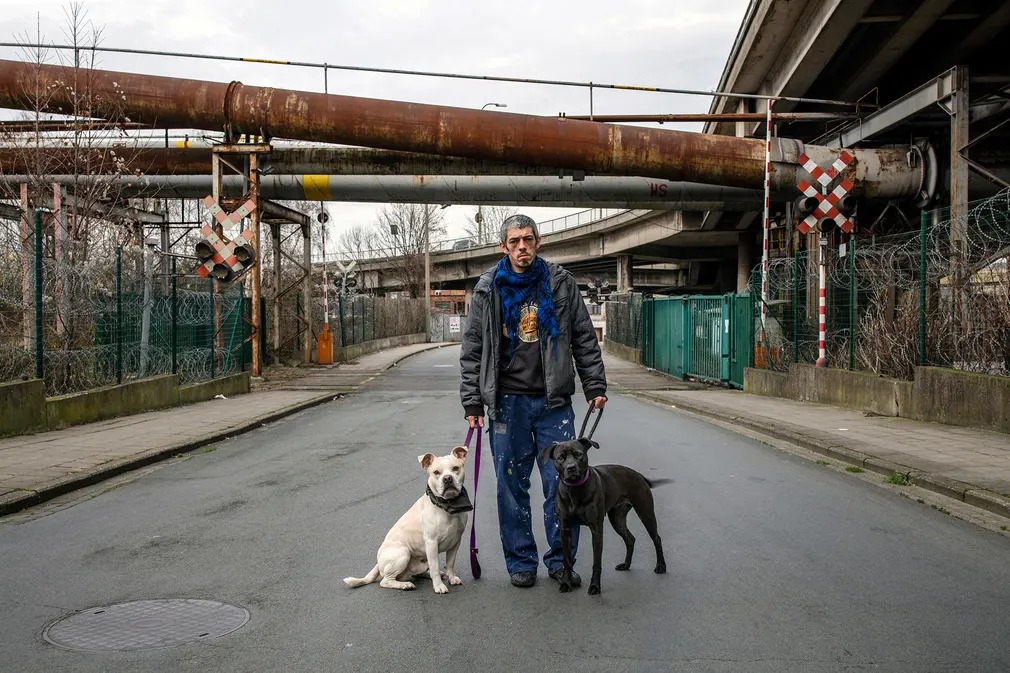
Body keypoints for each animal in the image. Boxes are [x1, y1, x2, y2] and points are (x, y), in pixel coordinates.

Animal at [343, 446, 471, 594]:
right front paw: (438, 586)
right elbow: (434, 567)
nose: (447, 478)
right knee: (385, 581)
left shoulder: (455, 541)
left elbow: (450, 563)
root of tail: (378, 563)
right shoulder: (431, 543)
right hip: (403, 552)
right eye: (436, 472)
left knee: (417, 573)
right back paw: (404, 585)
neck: (448, 506)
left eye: (455, 468)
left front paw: (451, 578)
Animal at [544, 437, 668, 595]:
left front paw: (595, 587)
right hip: (617, 519)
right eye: (560, 458)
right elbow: (566, 561)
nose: (571, 468)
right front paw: (566, 583)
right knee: (630, 539)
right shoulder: (565, 530)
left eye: (578, 454)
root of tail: (639, 475)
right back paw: (626, 564)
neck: (575, 489)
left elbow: (597, 563)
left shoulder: (596, 529)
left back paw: (661, 566)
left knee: (656, 539)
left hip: (646, 513)